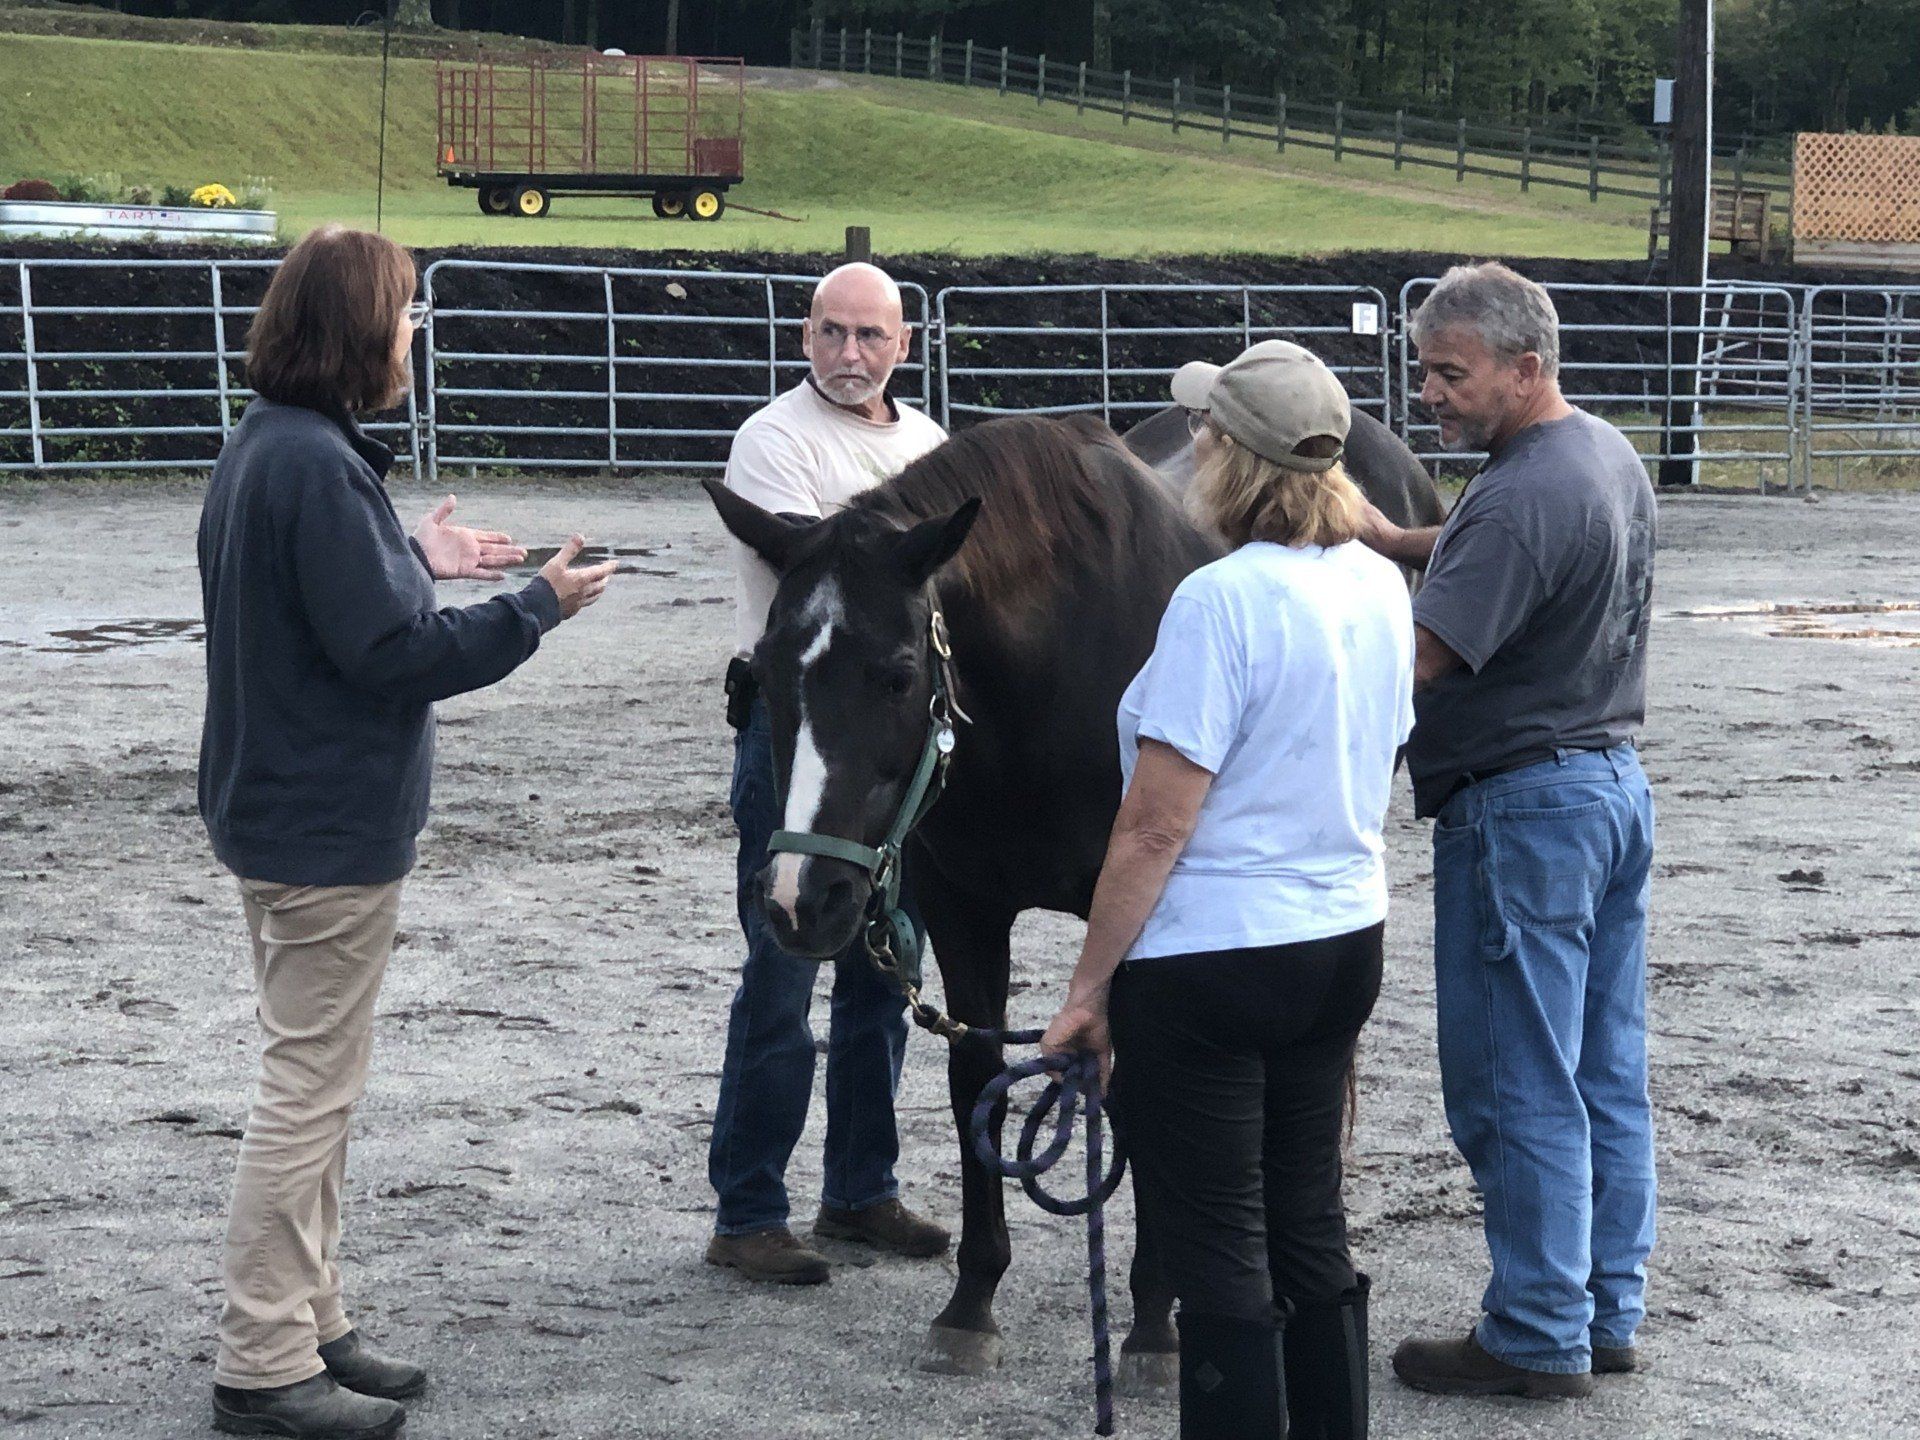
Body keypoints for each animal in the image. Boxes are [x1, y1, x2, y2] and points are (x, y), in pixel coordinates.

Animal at [706, 408, 1443, 1390]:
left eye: (897, 674)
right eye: (769, 671)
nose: (801, 899)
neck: (1051, 669)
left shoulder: (1136, 918)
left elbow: (1138, 1090)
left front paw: (1156, 1321)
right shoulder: (962, 910)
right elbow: (977, 1079)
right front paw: (971, 1302)